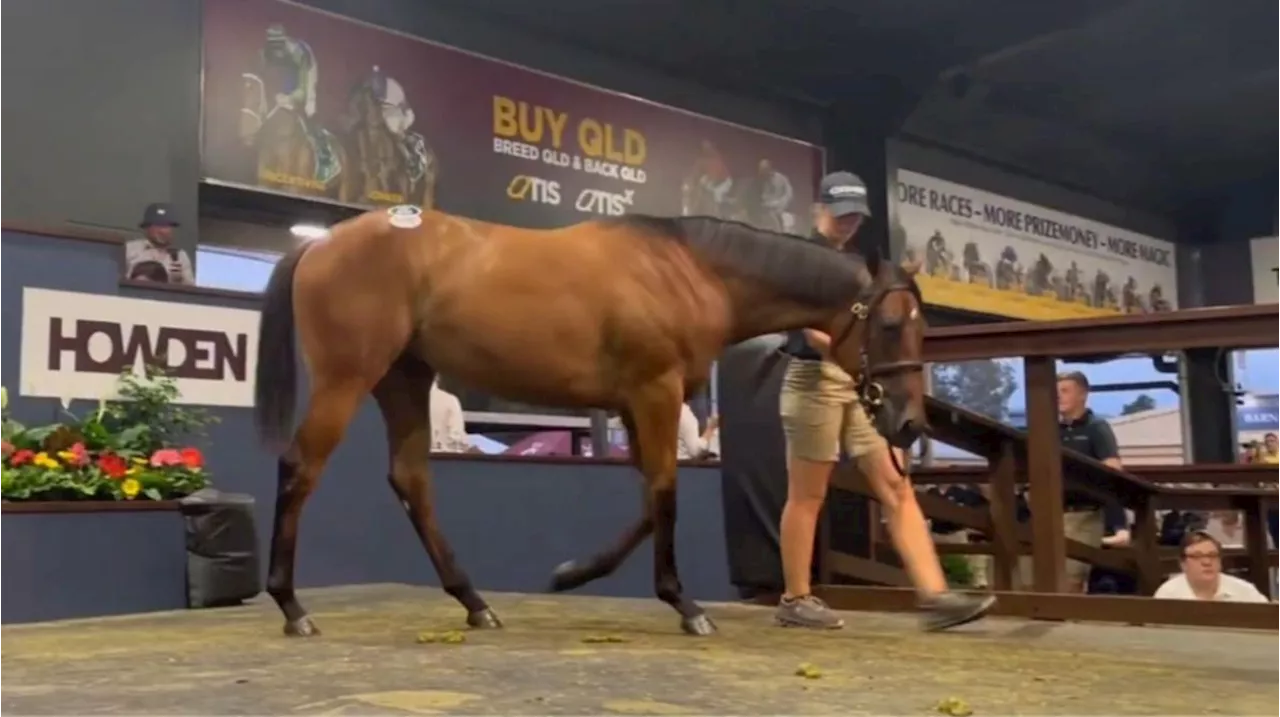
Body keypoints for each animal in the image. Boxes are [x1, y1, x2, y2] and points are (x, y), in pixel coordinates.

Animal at [254, 207, 926, 637]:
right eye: (892, 324)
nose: (910, 422)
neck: (688, 270)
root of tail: (319, 243)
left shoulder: (634, 404)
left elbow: (650, 502)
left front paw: (573, 573)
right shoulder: (655, 395)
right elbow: (665, 494)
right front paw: (685, 605)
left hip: (404, 380)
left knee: (411, 481)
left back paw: (475, 603)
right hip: (349, 379)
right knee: (300, 467)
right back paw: (291, 607)